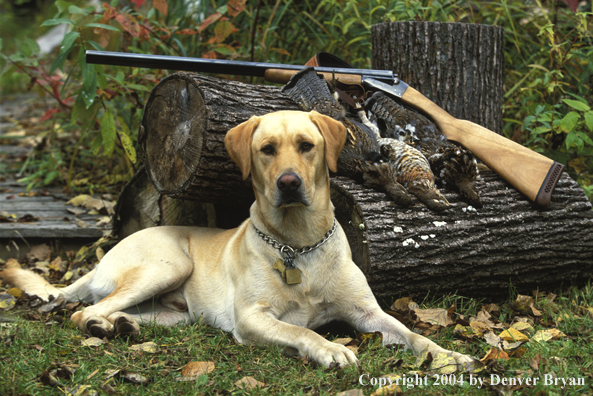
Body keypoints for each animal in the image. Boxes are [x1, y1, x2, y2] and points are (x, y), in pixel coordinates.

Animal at [0, 110, 472, 368]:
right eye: (266, 149)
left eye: (306, 145)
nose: (288, 183)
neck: (298, 242)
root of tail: (102, 259)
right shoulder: (252, 317)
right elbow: (302, 331)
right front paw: (330, 349)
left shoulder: (368, 313)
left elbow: (412, 333)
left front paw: (447, 355)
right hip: (170, 263)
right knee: (84, 311)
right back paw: (101, 324)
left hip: (177, 313)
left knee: (122, 312)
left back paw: (122, 326)